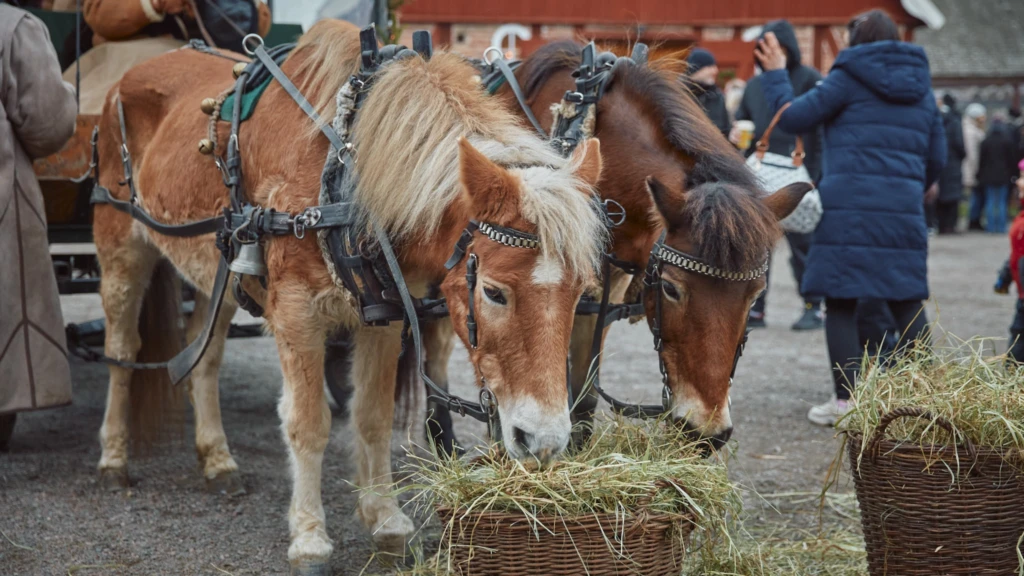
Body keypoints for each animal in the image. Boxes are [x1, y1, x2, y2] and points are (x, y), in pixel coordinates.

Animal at [92, 20, 602, 569]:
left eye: (581, 292)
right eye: (493, 292)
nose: (546, 440)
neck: (343, 170)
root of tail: (133, 72)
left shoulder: (386, 313)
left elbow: (373, 416)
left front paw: (386, 518)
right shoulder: (296, 313)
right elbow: (308, 422)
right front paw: (310, 536)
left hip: (221, 276)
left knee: (203, 358)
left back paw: (217, 459)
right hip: (121, 249)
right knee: (122, 351)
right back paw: (113, 457)